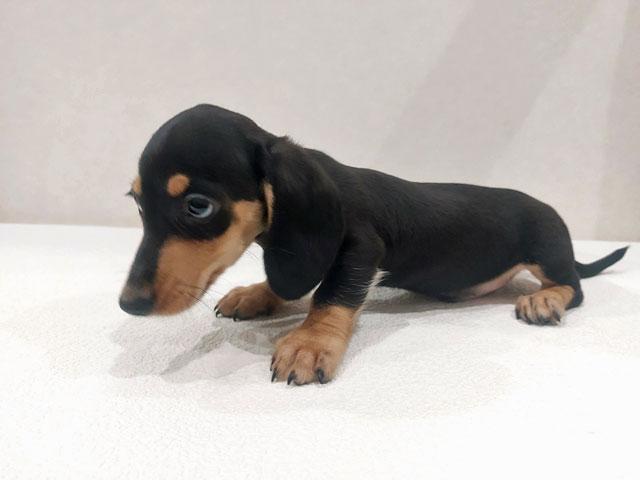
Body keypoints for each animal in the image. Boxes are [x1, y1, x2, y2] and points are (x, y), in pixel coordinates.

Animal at [119, 104, 628, 386]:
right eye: (137, 203)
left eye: (198, 206)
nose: (129, 304)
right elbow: (288, 281)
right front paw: (255, 295)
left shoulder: (362, 248)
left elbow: (331, 294)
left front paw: (310, 344)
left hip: (547, 249)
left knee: (574, 286)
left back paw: (544, 298)